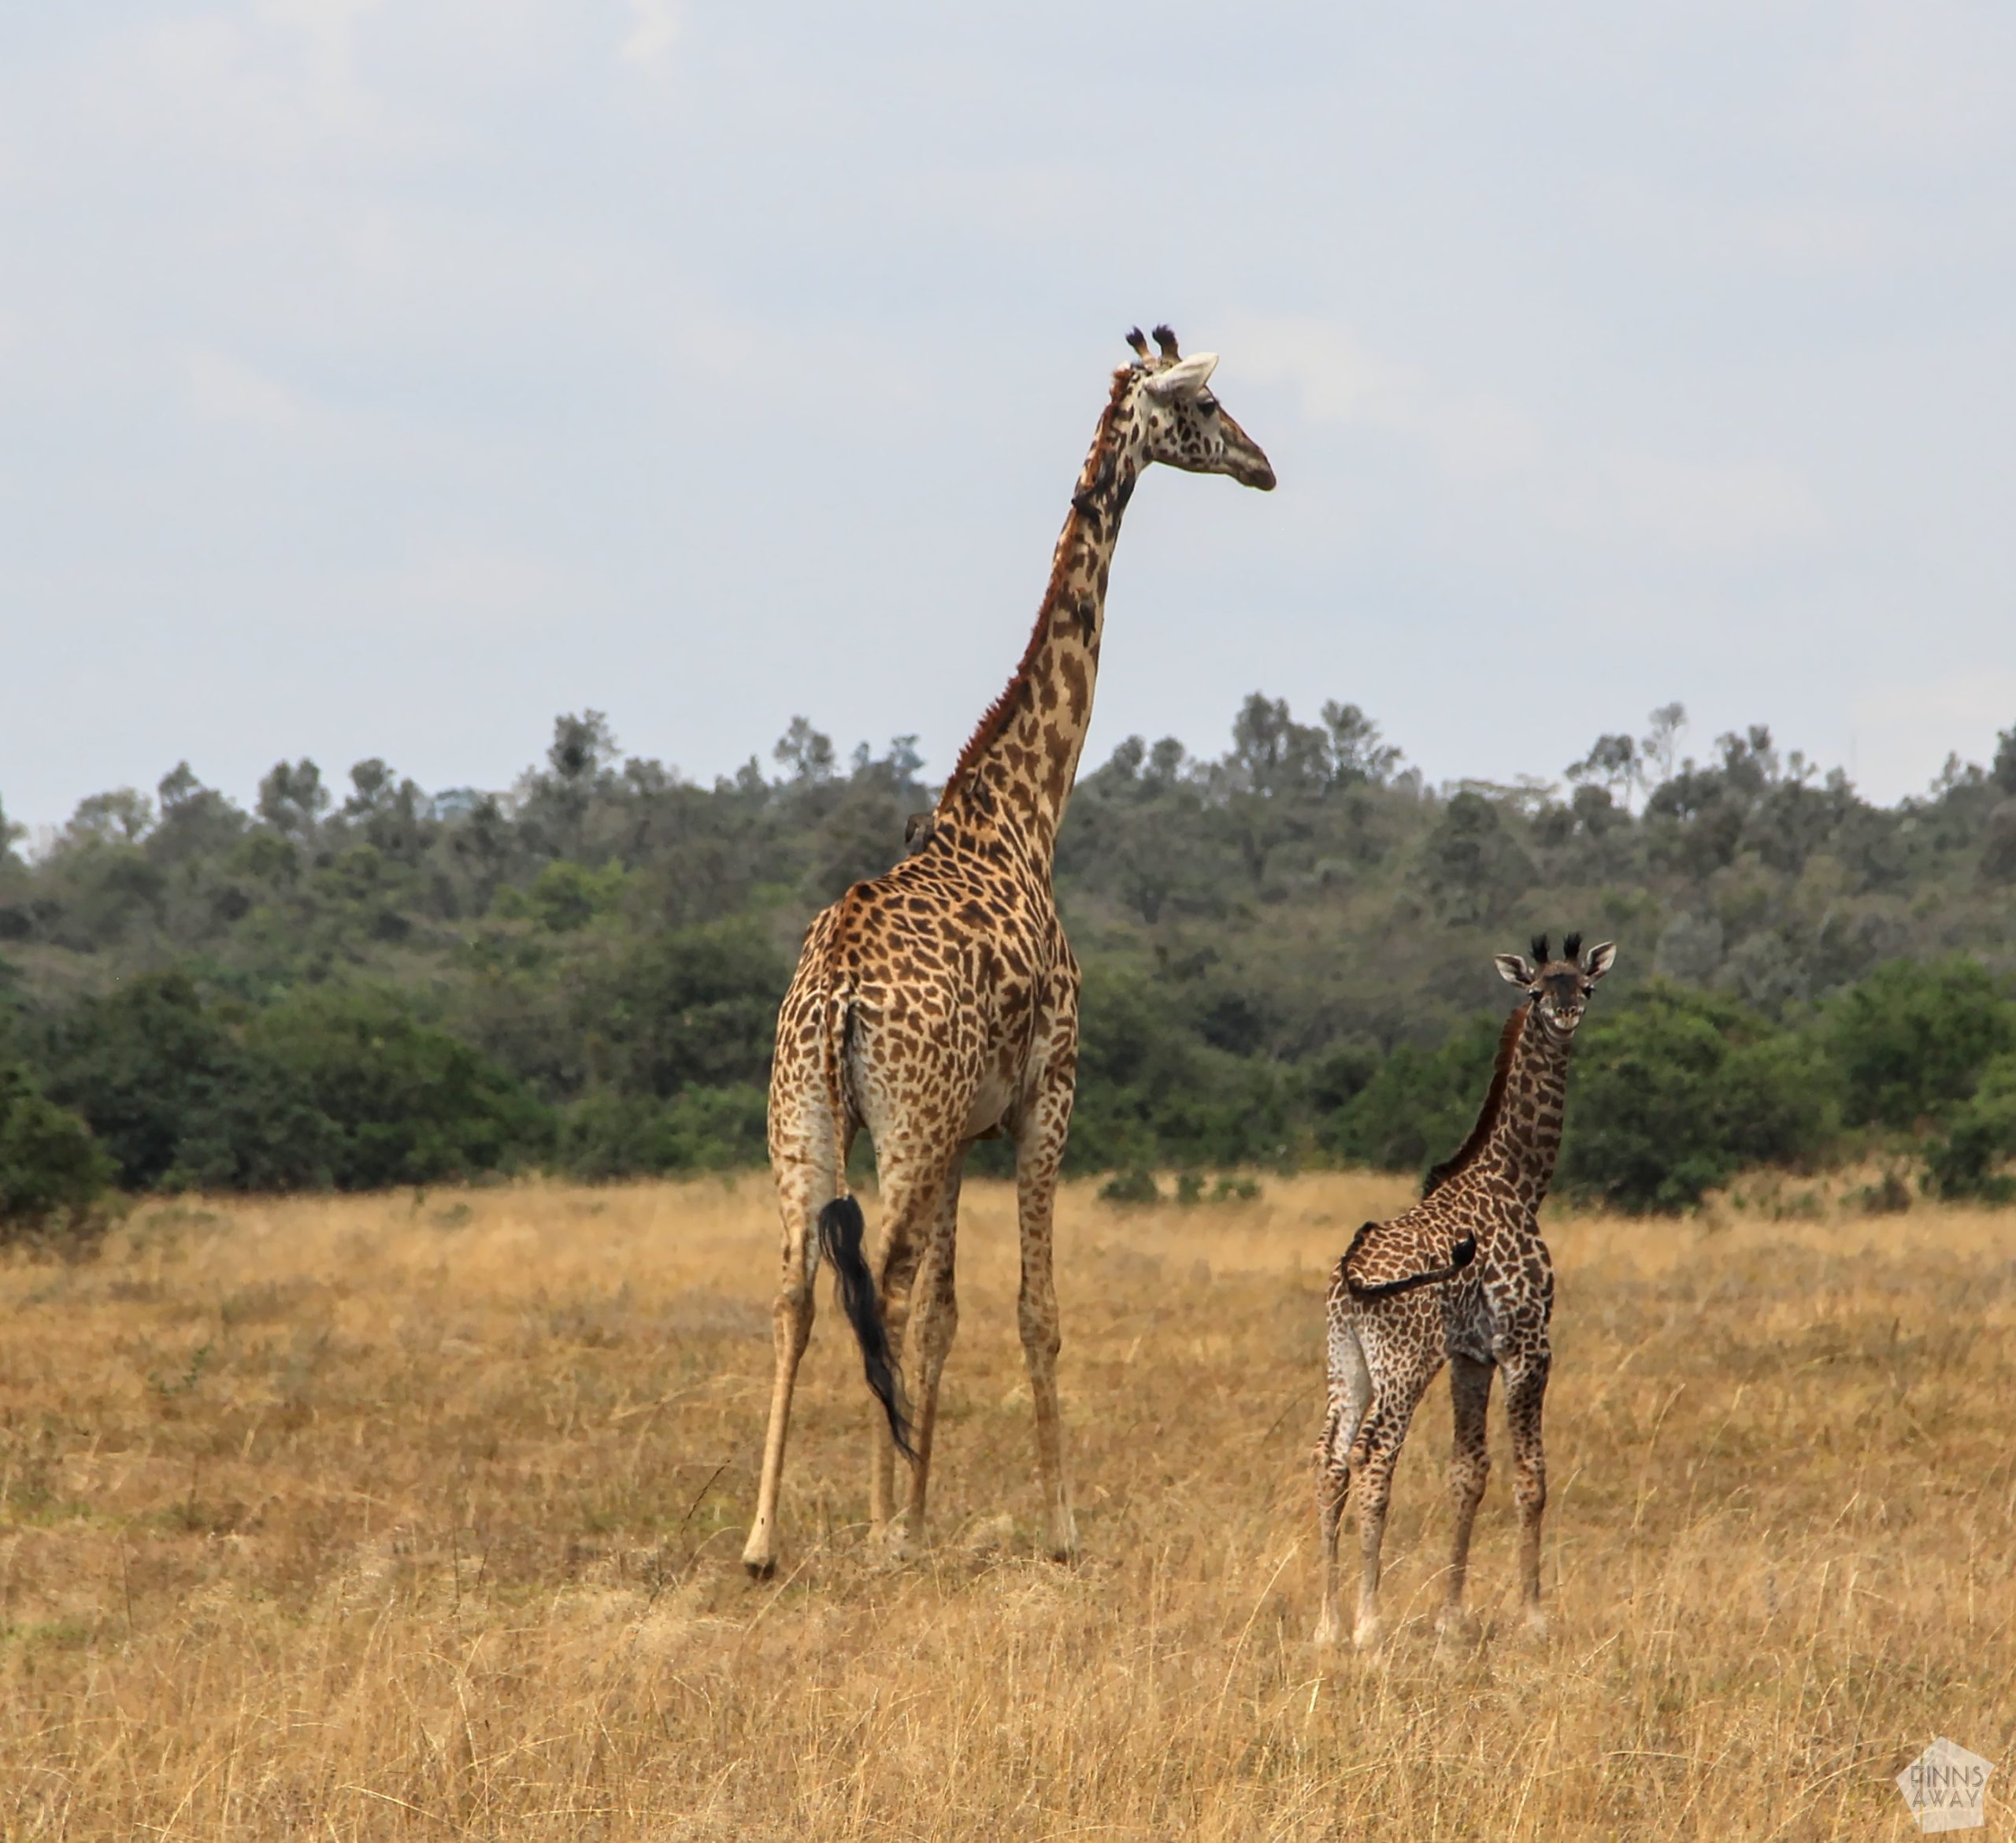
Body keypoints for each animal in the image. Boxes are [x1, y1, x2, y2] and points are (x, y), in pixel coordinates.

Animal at [740, 327, 1276, 1578]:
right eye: (1207, 406)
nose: (1266, 466)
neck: (1025, 812)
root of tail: (837, 986)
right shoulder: (1044, 1096)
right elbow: (1034, 1310)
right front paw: (1050, 1525)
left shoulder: (965, 1131)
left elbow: (945, 1318)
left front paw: (923, 1510)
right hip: (903, 1119)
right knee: (874, 1285)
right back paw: (872, 1535)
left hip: (813, 1114)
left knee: (798, 1289)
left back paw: (763, 1540)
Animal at [1312, 933, 1618, 1648]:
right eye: (1536, 989)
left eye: (1585, 987)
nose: (1565, 1016)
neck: (1519, 1182)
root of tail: (1351, 1274)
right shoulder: (1528, 1343)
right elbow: (1531, 1476)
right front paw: (1534, 1617)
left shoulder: (1470, 1356)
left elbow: (1466, 1474)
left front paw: (1452, 1619)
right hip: (1403, 1363)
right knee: (1373, 1456)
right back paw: (1369, 1626)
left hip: (1347, 1360)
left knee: (1331, 1458)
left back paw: (1328, 1625)